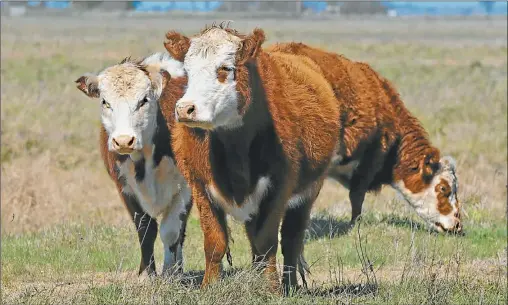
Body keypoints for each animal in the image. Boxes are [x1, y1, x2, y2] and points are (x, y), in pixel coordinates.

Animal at [74, 51, 193, 276]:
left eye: (143, 100)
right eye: (105, 102)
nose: (123, 141)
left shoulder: (185, 188)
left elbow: (171, 231)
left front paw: (170, 272)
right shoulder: (125, 187)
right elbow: (145, 229)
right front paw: (146, 273)